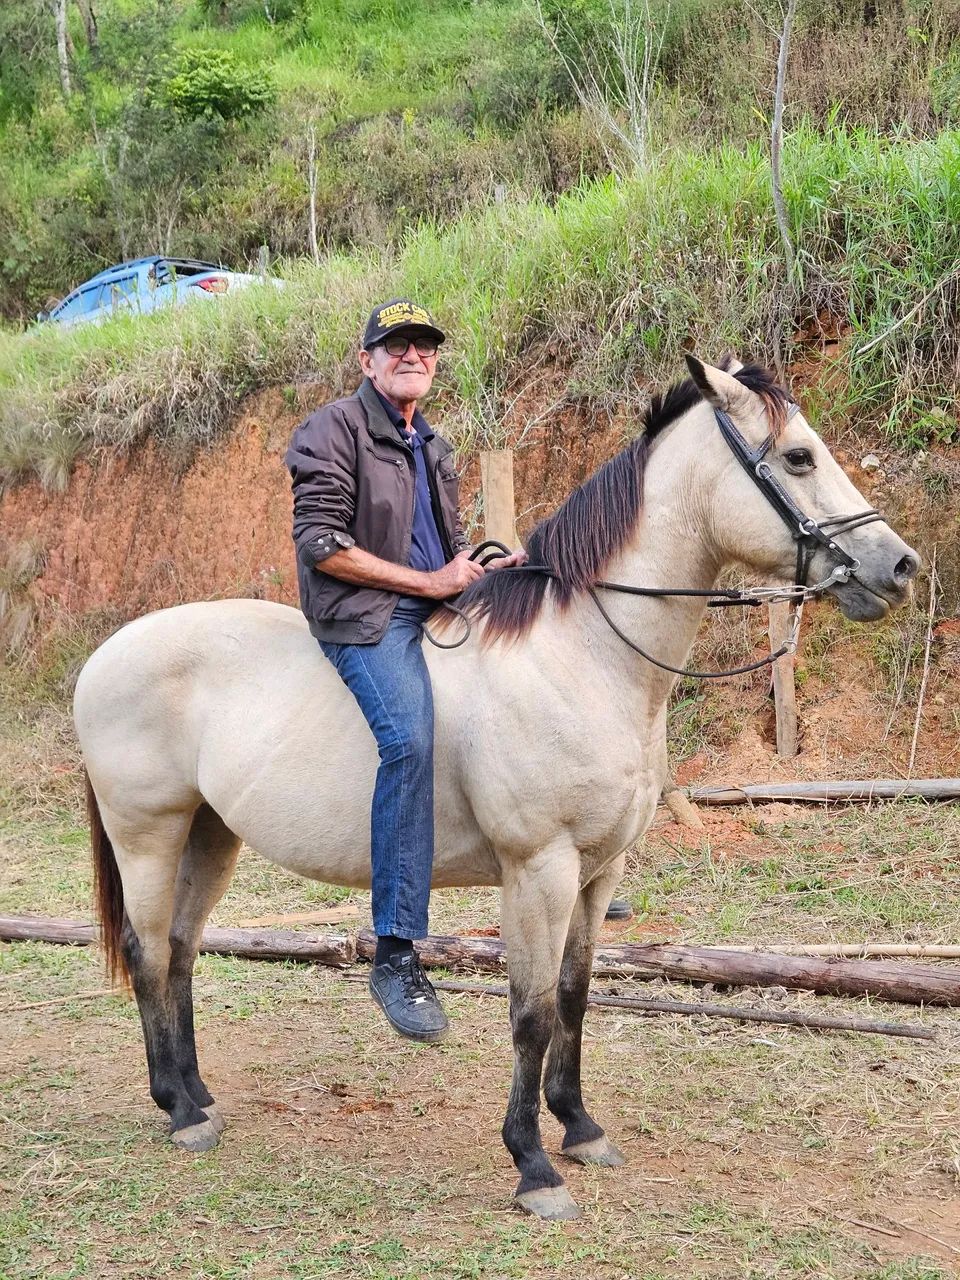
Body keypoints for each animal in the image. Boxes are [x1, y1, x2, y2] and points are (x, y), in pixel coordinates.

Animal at [74, 357, 919, 1220]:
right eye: (798, 458)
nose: (899, 568)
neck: (581, 656)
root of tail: (107, 653)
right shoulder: (537, 869)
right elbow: (532, 1012)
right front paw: (534, 1166)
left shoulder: (598, 871)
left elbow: (576, 995)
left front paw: (579, 1127)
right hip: (148, 833)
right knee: (147, 952)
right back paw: (178, 1109)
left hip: (210, 835)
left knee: (181, 950)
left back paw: (198, 1096)